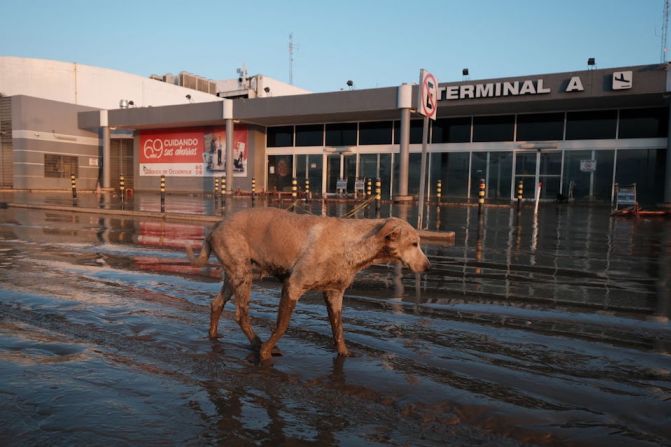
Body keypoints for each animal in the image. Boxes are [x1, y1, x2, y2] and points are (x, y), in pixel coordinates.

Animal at [186, 208, 434, 362]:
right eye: (414, 243)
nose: (428, 267)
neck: (352, 244)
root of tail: (216, 226)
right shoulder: (293, 286)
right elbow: (282, 326)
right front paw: (265, 352)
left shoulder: (334, 294)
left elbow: (338, 330)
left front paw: (345, 354)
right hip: (242, 275)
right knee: (241, 314)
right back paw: (257, 344)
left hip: (235, 275)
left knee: (216, 304)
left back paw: (214, 336)